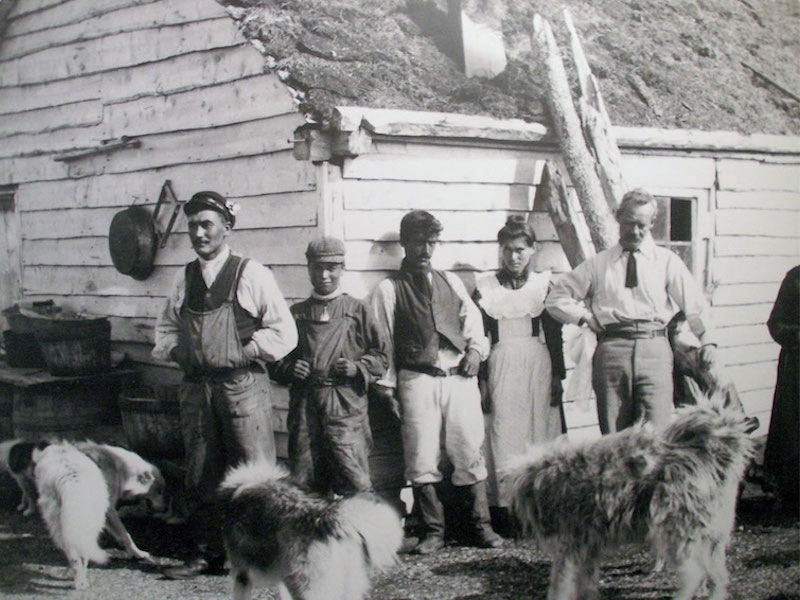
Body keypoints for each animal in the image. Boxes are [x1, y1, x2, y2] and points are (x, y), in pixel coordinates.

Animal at [510, 406, 752, 596]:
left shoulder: (568, 550)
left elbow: (560, 587)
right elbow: (585, 584)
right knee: (718, 576)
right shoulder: (585, 551)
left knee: (695, 575)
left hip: (678, 533)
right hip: (709, 538)